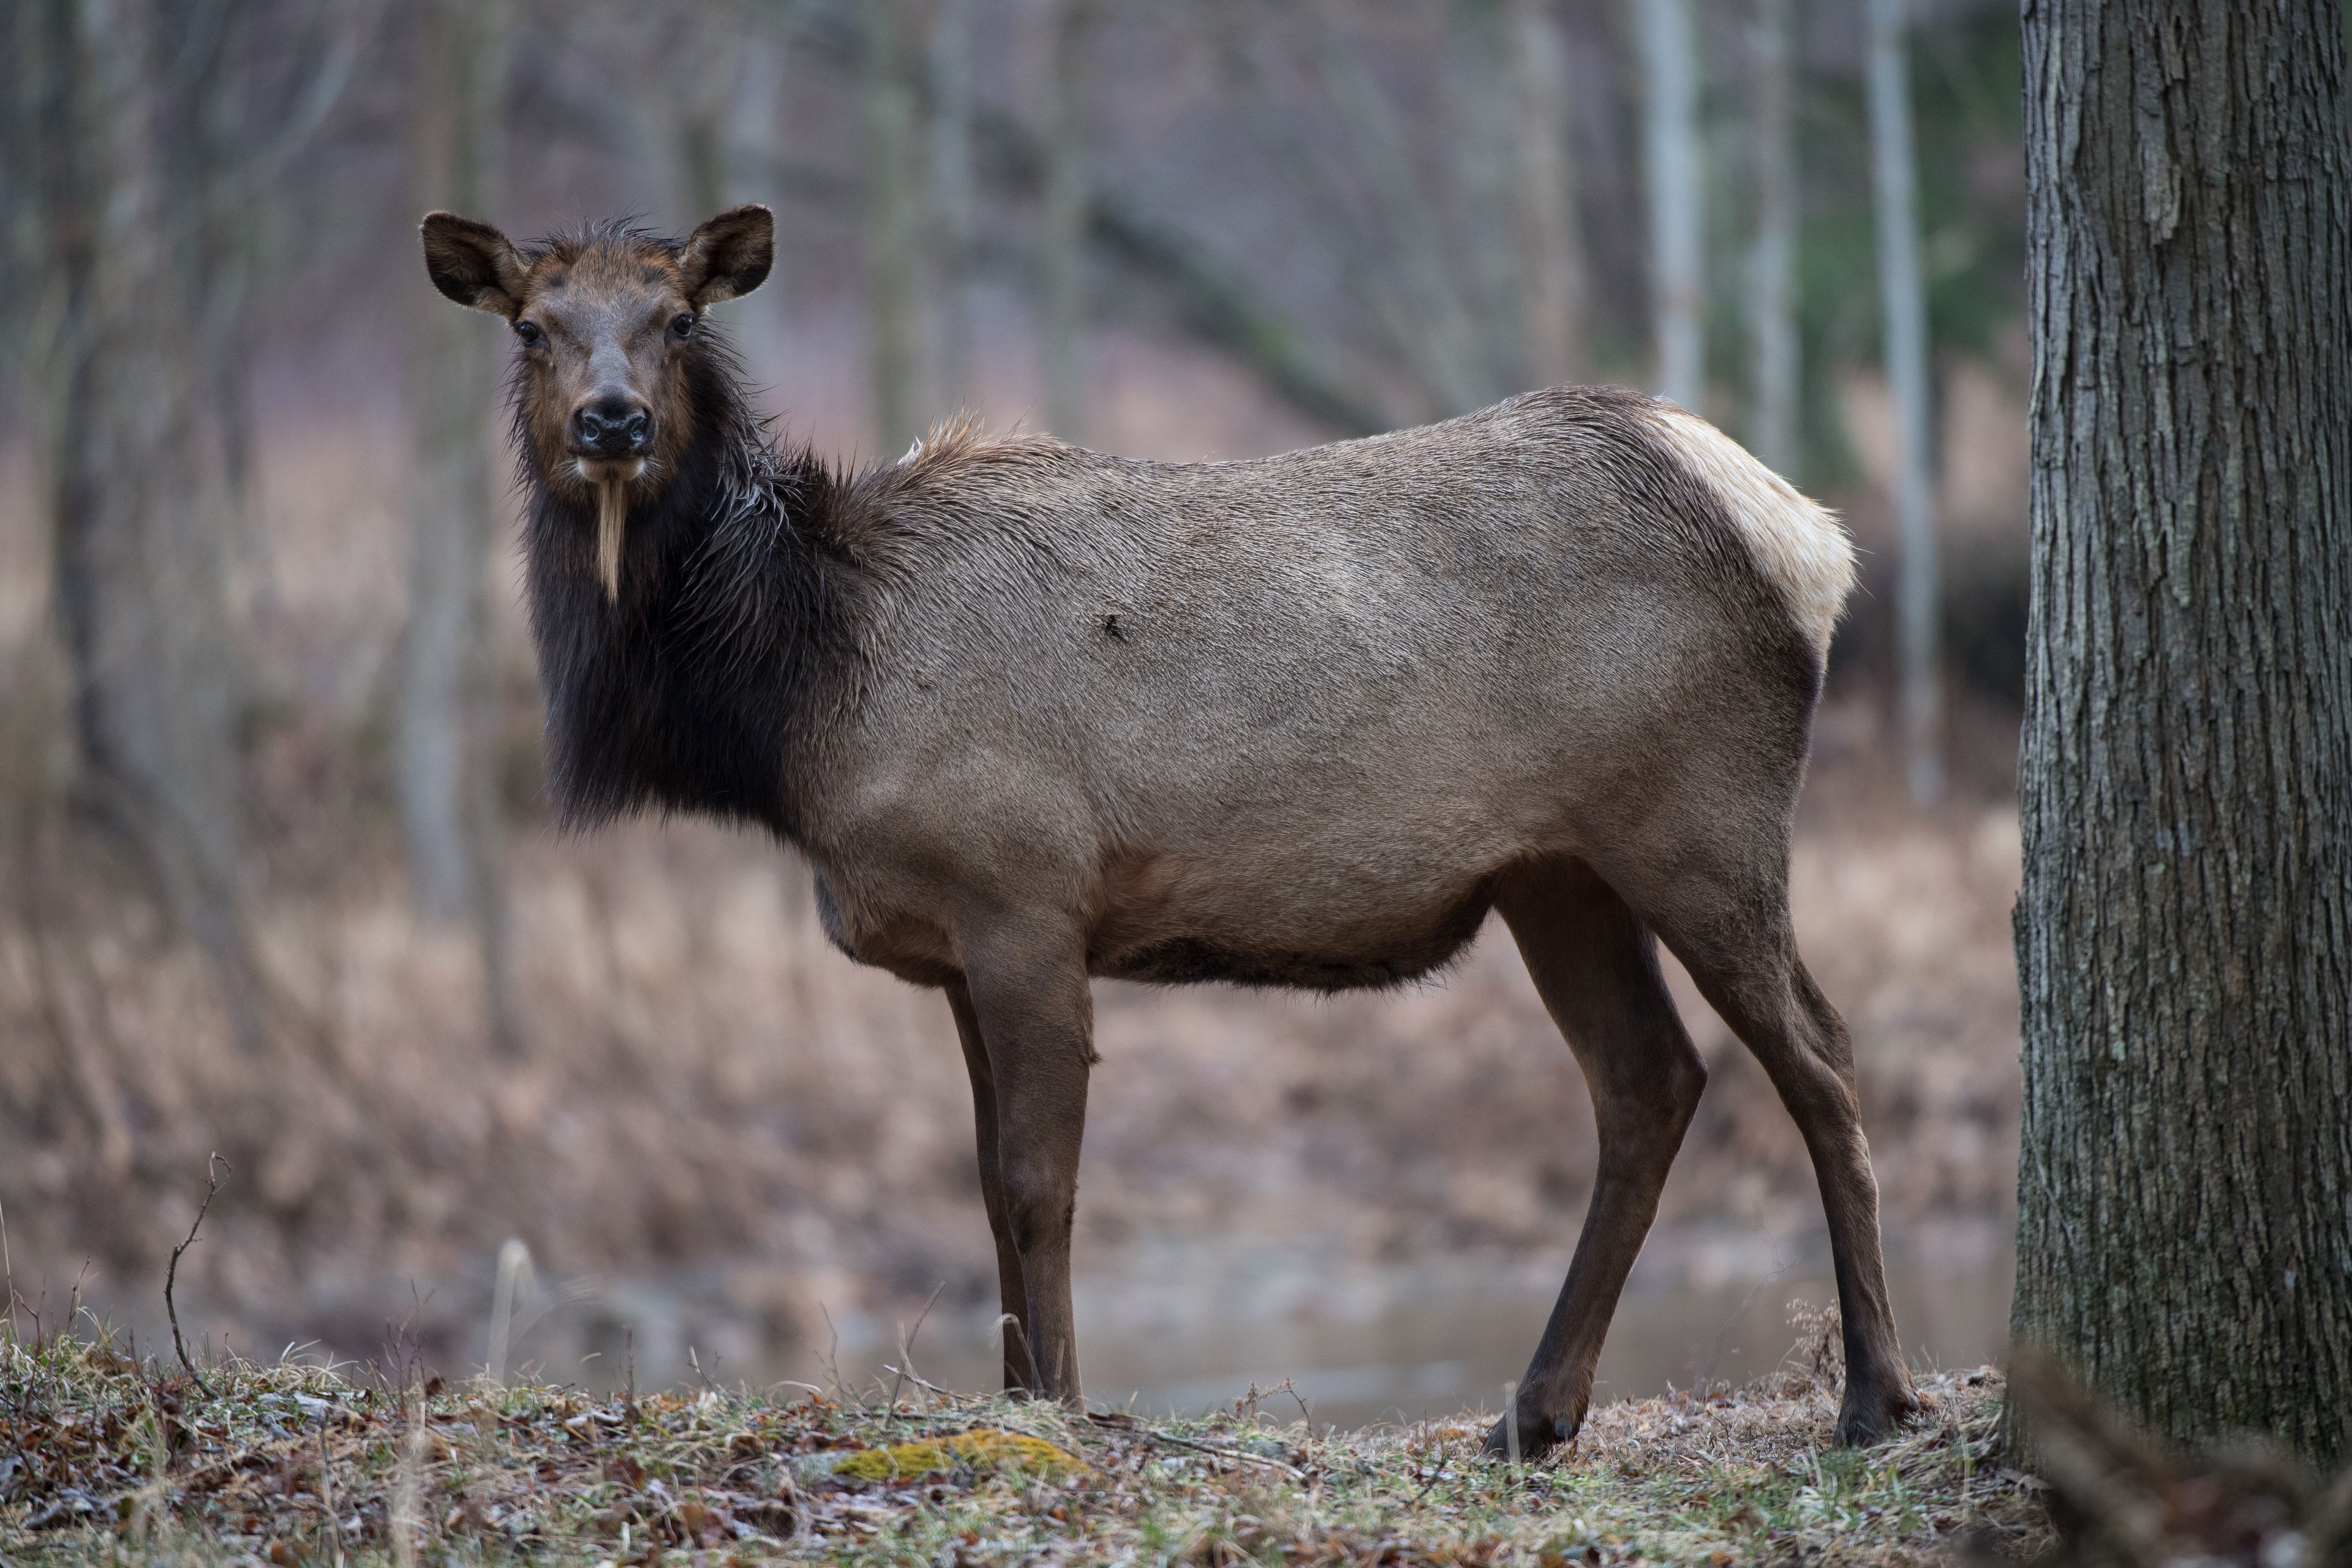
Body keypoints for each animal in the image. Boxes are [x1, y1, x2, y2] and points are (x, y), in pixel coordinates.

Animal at [419, 202, 1919, 1458]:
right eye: (532, 324)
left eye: (677, 316)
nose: (612, 422)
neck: (797, 702)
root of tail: (1810, 538)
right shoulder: (957, 945)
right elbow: (982, 1184)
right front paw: (1017, 1396)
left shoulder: (1024, 898)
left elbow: (1038, 1182)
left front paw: (1063, 1408)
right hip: (1557, 871)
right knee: (1650, 1081)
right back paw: (1533, 1414)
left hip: (1698, 819)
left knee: (1822, 1054)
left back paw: (1874, 1397)